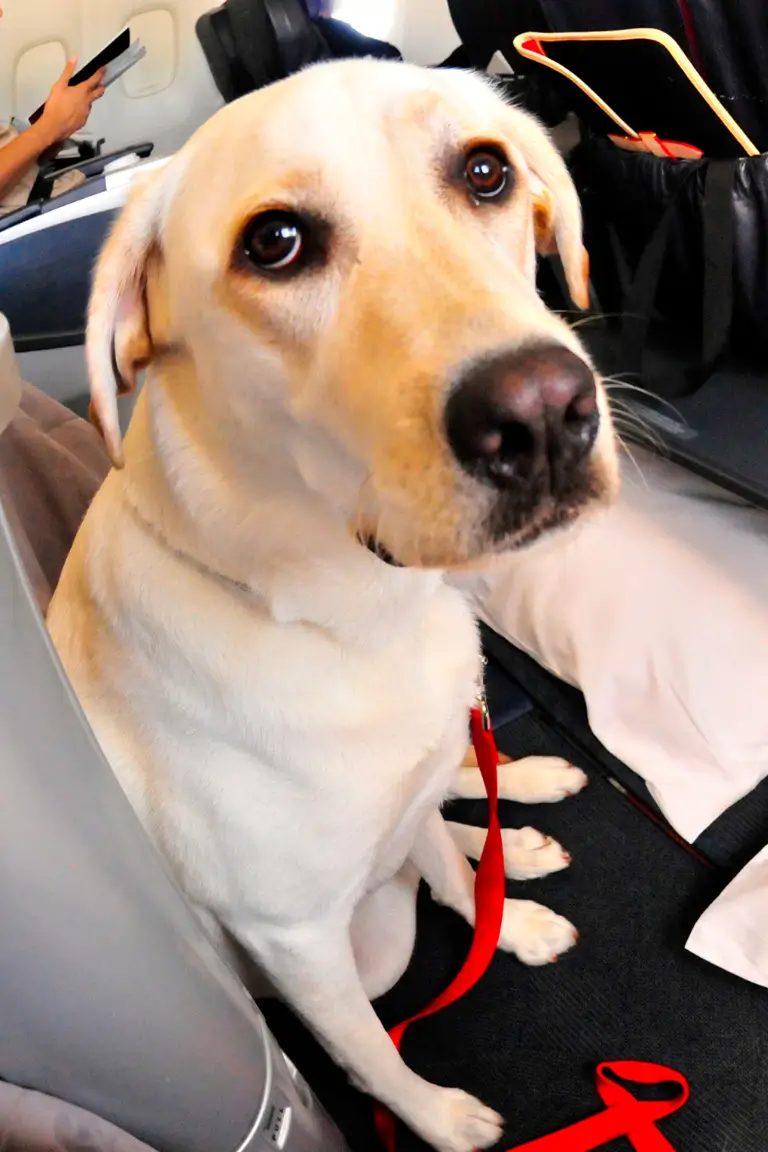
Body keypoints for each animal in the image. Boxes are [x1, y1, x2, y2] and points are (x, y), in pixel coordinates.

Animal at [48, 60, 617, 1152]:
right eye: (274, 243)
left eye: (486, 171)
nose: (543, 414)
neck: (353, 616)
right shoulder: (298, 942)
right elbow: (369, 1053)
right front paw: (436, 1117)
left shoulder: (411, 775)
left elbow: (452, 872)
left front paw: (511, 922)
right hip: (368, 946)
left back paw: (518, 816)